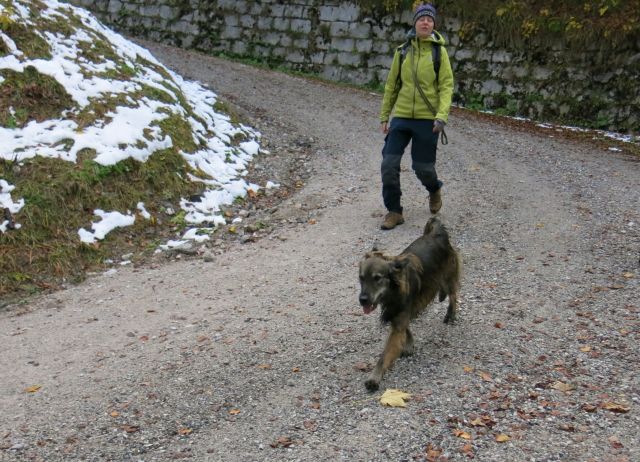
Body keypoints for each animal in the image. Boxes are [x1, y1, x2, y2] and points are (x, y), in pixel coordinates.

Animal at [360, 217, 460, 390]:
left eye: (377, 278)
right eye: (361, 278)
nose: (362, 300)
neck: (393, 291)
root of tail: (436, 234)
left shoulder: (400, 315)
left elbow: (384, 355)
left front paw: (374, 377)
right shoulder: (397, 312)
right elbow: (405, 328)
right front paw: (409, 344)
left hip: (447, 276)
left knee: (453, 294)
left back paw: (450, 314)